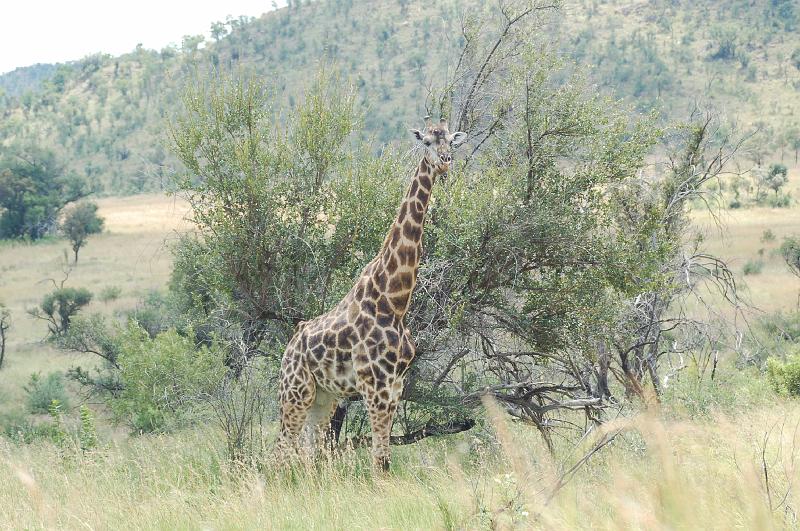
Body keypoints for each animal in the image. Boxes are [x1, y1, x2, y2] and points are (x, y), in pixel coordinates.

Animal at [276, 117, 466, 470]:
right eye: (427, 142)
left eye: (451, 141)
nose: (446, 162)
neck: (394, 301)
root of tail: (290, 345)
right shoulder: (375, 387)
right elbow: (380, 462)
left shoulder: (395, 386)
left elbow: (384, 459)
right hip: (295, 391)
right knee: (280, 450)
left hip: (323, 397)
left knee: (309, 452)